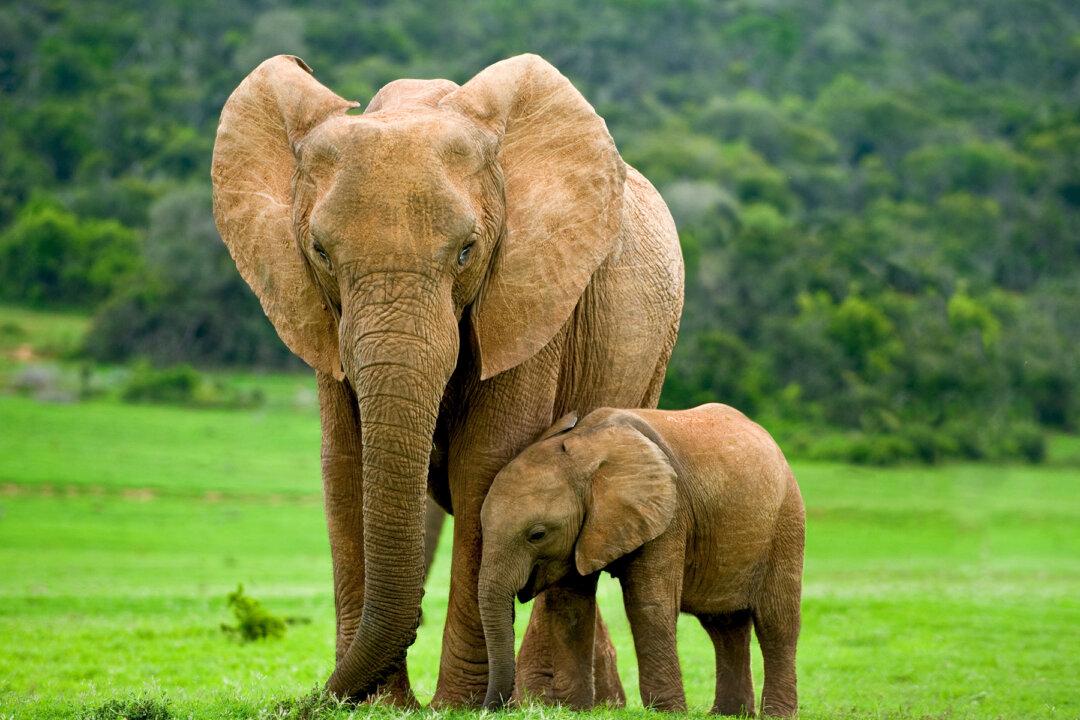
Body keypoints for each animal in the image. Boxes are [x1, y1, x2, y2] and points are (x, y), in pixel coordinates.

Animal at [210, 53, 683, 706]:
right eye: (320, 252)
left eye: (466, 251)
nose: (307, 701)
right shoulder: (321, 316)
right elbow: (346, 463)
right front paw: (380, 706)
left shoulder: (530, 293)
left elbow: (485, 463)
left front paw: (457, 706)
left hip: (652, 352)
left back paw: (553, 701)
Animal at [478, 404, 804, 716]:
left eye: (538, 534)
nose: (489, 708)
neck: (584, 449)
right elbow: (571, 607)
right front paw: (574, 709)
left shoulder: (669, 515)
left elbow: (648, 604)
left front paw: (668, 712)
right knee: (723, 626)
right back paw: (728, 714)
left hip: (786, 522)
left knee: (777, 622)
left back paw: (777, 714)